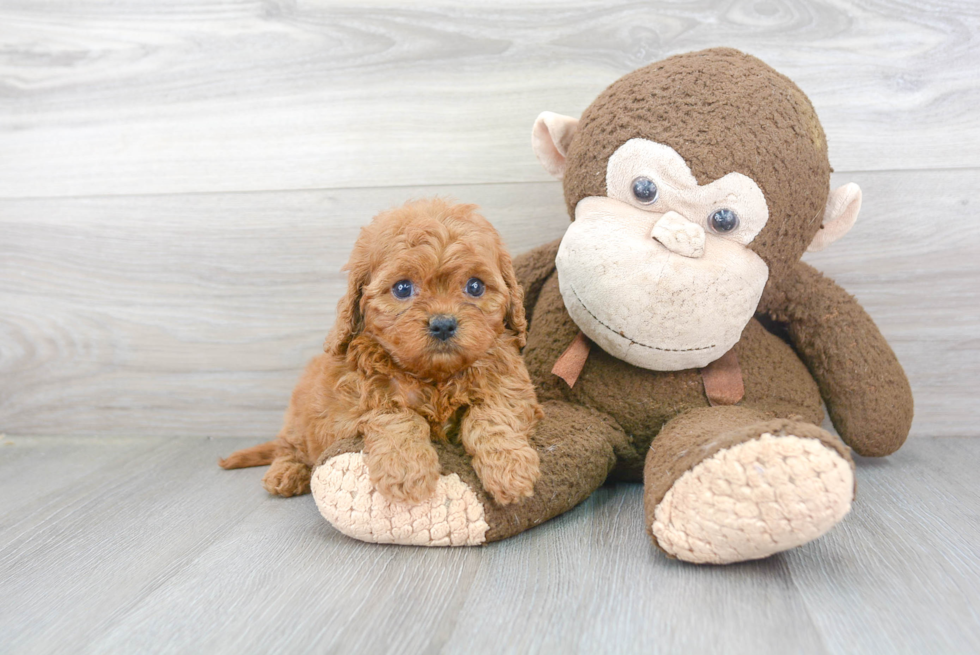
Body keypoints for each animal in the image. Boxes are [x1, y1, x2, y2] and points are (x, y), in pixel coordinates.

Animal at [219, 200, 544, 508]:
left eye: (475, 286)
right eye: (402, 288)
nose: (443, 324)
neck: (434, 378)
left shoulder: (511, 387)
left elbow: (491, 413)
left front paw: (510, 467)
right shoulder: (348, 412)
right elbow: (396, 415)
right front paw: (407, 472)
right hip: (299, 419)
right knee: (289, 448)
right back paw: (285, 473)